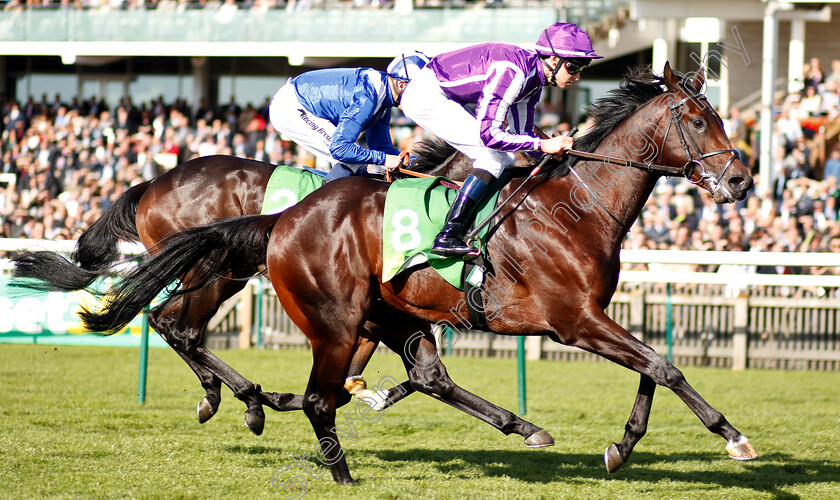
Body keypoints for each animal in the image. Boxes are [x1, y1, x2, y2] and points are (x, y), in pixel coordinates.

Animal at [39, 64, 756, 482]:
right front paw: (732, 436)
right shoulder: (573, 319)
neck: (575, 204)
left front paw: (621, 447)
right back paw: (246, 402)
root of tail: (157, 181)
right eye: (699, 120)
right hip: (234, 280)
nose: (742, 179)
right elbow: (662, 366)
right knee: (178, 326)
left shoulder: (587, 317)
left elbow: (651, 368)